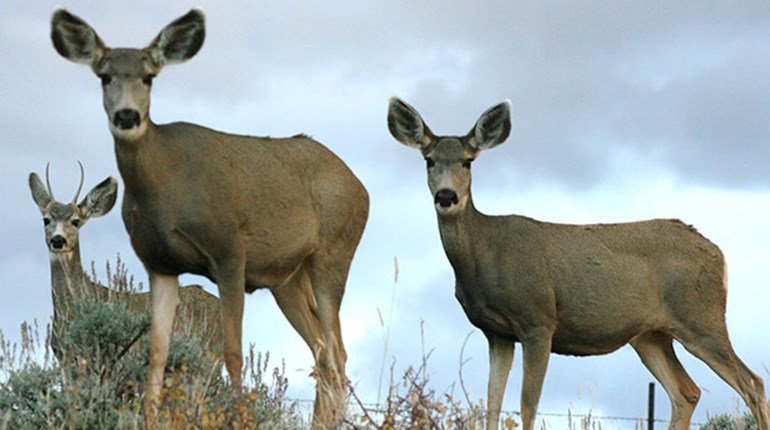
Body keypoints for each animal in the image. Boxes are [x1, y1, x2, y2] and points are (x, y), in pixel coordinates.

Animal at [50, 8, 369, 428]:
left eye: (149, 75)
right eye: (104, 75)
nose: (127, 116)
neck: (165, 187)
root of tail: (359, 185)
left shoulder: (229, 253)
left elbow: (233, 351)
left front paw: (240, 415)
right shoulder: (159, 264)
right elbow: (157, 353)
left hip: (333, 254)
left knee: (337, 352)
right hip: (287, 278)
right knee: (322, 353)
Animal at [387, 97, 770, 430]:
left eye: (468, 161)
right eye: (428, 159)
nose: (446, 196)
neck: (486, 255)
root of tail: (718, 252)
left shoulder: (538, 320)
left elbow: (527, 404)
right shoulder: (496, 332)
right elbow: (492, 402)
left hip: (701, 316)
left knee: (752, 383)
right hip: (651, 335)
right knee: (686, 392)